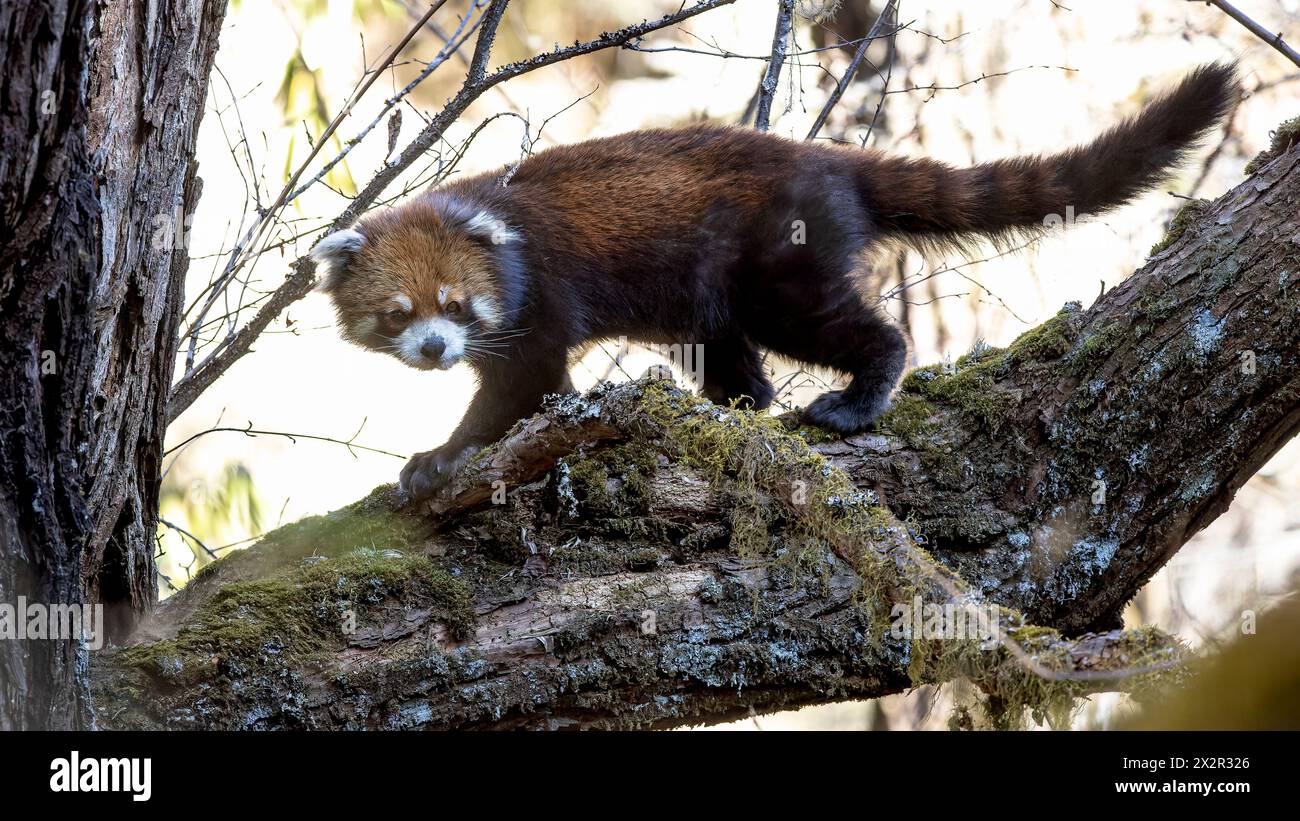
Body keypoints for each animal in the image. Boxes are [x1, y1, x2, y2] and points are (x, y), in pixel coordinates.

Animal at [312, 62, 1237, 501]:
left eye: (455, 305)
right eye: (398, 313)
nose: (435, 348)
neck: (488, 213)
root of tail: (825, 159)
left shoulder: (542, 291)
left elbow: (522, 388)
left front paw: (439, 457)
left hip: (783, 258)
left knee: (847, 328)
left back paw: (854, 398)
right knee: (733, 356)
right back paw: (731, 405)